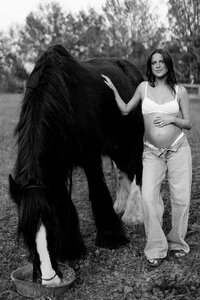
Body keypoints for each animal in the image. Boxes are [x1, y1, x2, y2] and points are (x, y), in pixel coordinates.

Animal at [9, 44, 144, 284]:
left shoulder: (90, 158)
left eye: (52, 226)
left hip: (132, 139)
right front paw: (71, 248)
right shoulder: (57, 165)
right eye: (25, 233)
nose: (50, 279)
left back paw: (134, 214)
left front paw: (111, 237)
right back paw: (121, 204)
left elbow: (98, 192)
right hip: (115, 146)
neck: (63, 100)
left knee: (136, 168)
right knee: (123, 171)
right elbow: (64, 203)